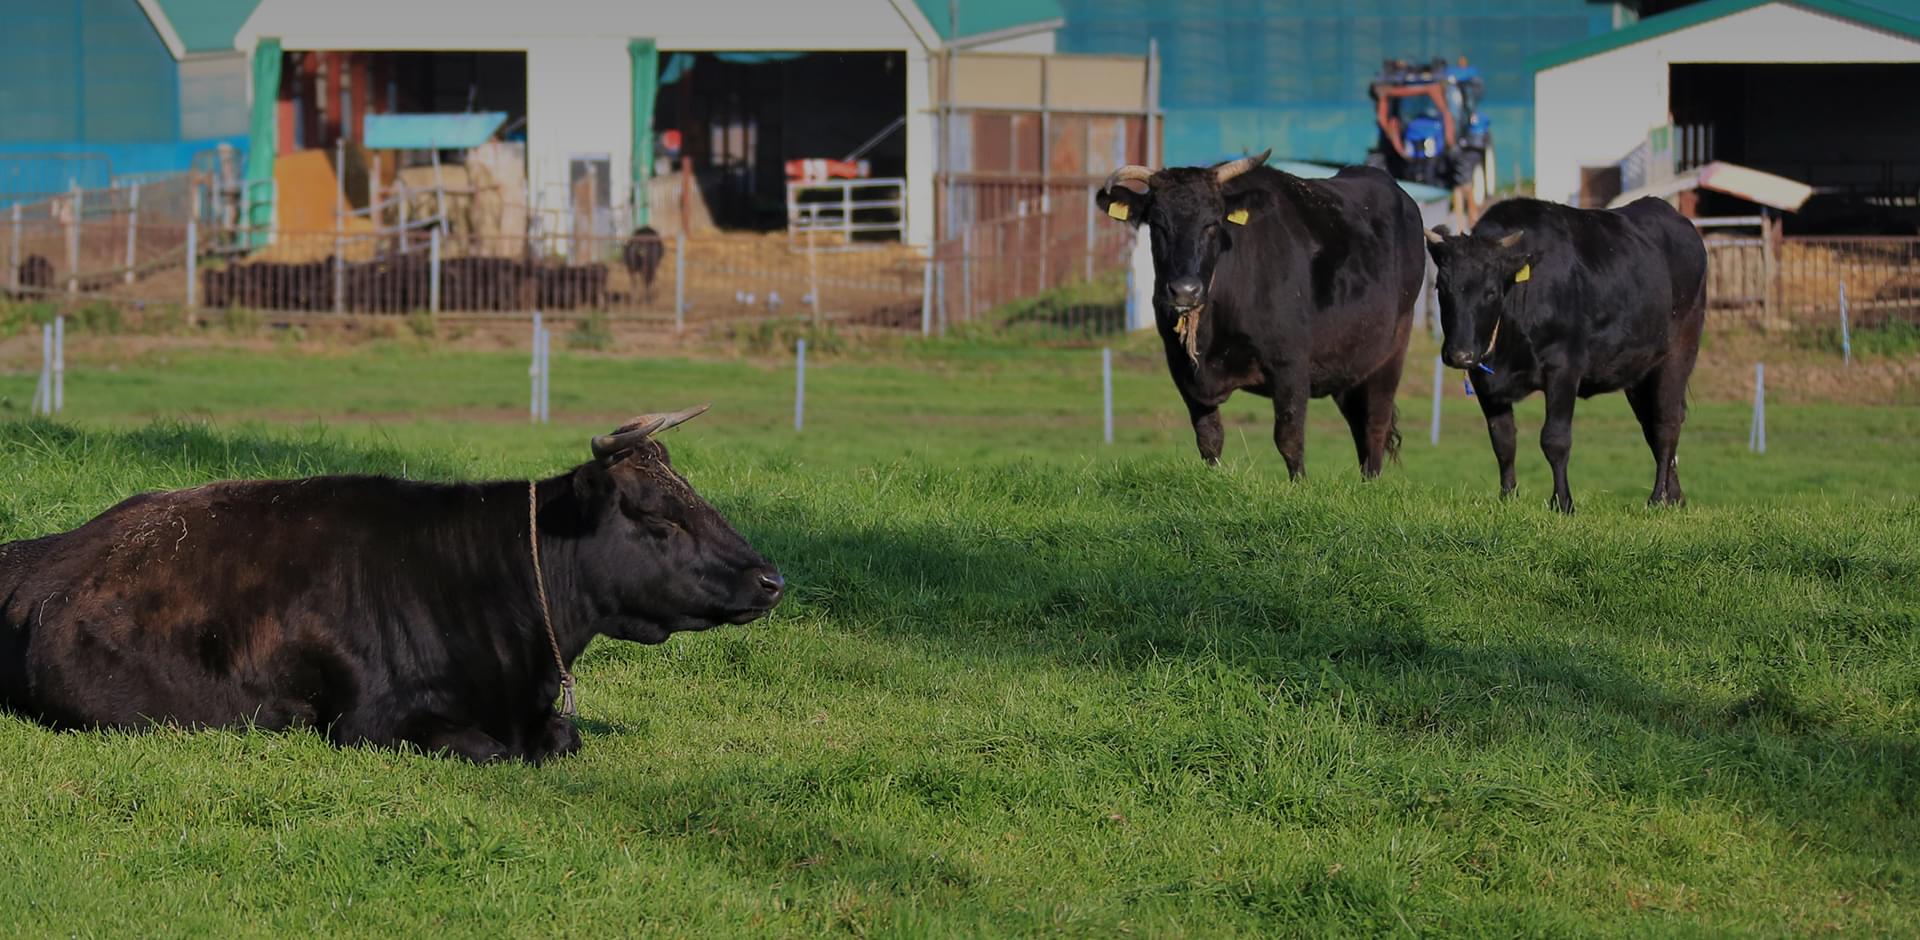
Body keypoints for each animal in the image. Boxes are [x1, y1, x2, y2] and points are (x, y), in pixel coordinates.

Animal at [1428, 193, 1712, 510]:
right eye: (1441, 288)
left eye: (1491, 291)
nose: (1460, 354)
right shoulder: (1484, 379)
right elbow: (1503, 440)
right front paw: (1508, 498)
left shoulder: (1563, 368)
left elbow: (1555, 439)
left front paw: (1562, 502)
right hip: (1639, 370)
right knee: (1653, 423)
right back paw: (1675, 497)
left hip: (1678, 353)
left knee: (1667, 423)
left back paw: (1657, 498)